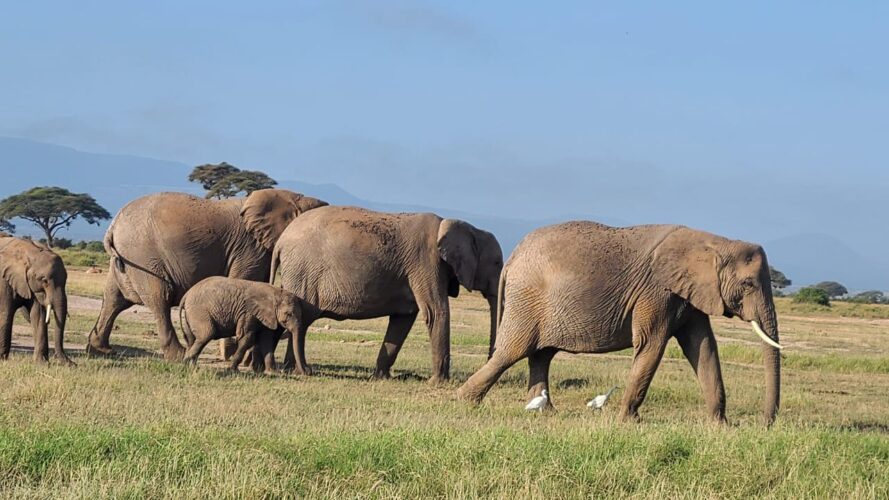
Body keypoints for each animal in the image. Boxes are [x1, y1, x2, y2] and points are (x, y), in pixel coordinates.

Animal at [0, 234, 73, 365]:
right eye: (44, 280)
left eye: (66, 279)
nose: (72, 364)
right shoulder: (3, 280)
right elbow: (5, 313)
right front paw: (2, 360)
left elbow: (38, 315)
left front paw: (42, 363)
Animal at [87, 189, 327, 360]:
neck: (291, 196)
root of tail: (113, 226)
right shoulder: (250, 248)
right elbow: (245, 282)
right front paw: (232, 354)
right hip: (143, 255)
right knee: (159, 298)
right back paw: (179, 355)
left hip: (126, 260)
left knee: (114, 298)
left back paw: (101, 349)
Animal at [270, 206, 503, 381]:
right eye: (496, 263)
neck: (467, 227)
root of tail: (280, 242)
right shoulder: (426, 263)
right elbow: (435, 312)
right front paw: (439, 382)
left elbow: (403, 320)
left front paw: (381, 377)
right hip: (303, 274)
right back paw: (298, 370)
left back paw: (291, 369)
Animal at [457, 222, 783, 425]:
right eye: (748, 283)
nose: (766, 423)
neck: (714, 242)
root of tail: (512, 257)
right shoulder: (656, 292)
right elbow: (652, 345)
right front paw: (629, 421)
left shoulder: (688, 295)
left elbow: (703, 347)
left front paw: (721, 426)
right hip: (526, 300)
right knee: (511, 351)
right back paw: (464, 401)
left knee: (541, 355)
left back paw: (546, 412)